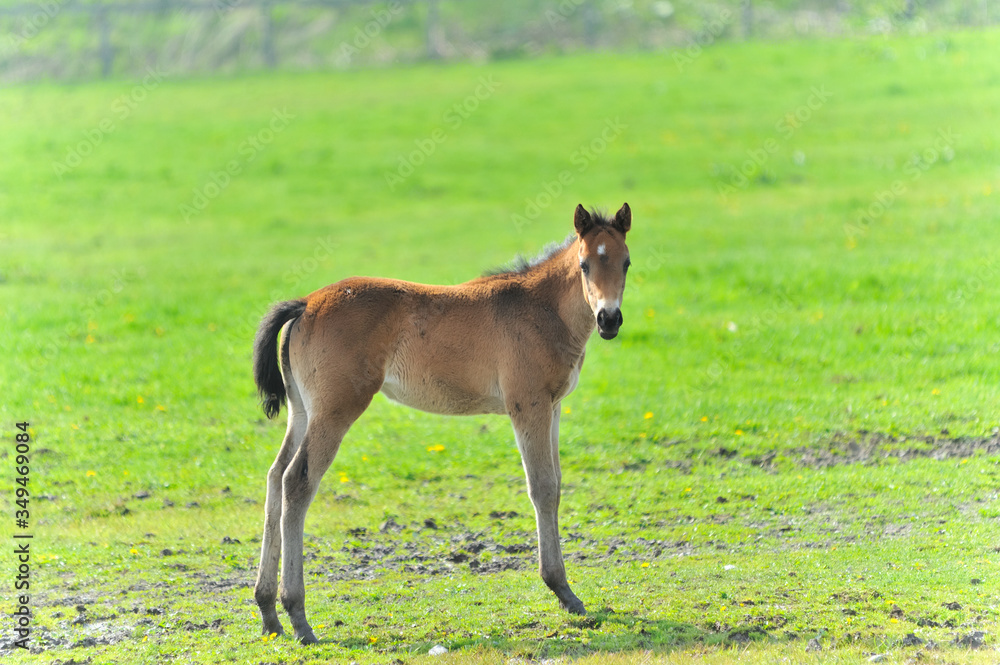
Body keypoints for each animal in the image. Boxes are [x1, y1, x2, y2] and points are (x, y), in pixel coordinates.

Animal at [254, 202, 636, 644]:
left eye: (626, 262)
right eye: (584, 264)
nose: (609, 320)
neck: (541, 309)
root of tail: (306, 303)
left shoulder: (553, 407)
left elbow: (555, 485)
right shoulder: (528, 405)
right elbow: (541, 488)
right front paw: (563, 590)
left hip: (302, 411)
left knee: (275, 475)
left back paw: (268, 612)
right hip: (336, 409)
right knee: (297, 480)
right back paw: (298, 616)